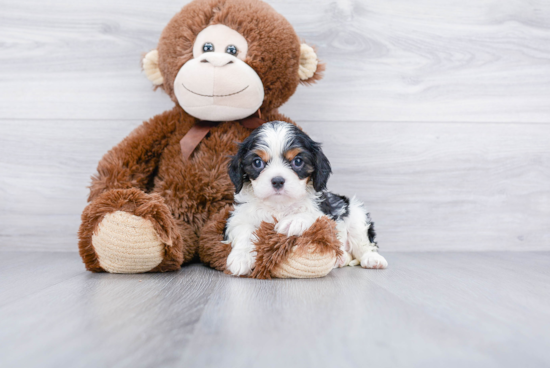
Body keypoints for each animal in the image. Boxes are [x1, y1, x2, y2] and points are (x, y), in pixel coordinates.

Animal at [224, 121, 388, 276]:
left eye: (298, 161)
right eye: (257, 162)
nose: (277, 181)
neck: (280, 205)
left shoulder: (327, 214)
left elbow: (314, 216)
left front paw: (294, 221)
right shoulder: (238, 218)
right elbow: (244, 230)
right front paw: (240, 257)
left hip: (356, 213)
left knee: (363, 244)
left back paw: (373, 259)